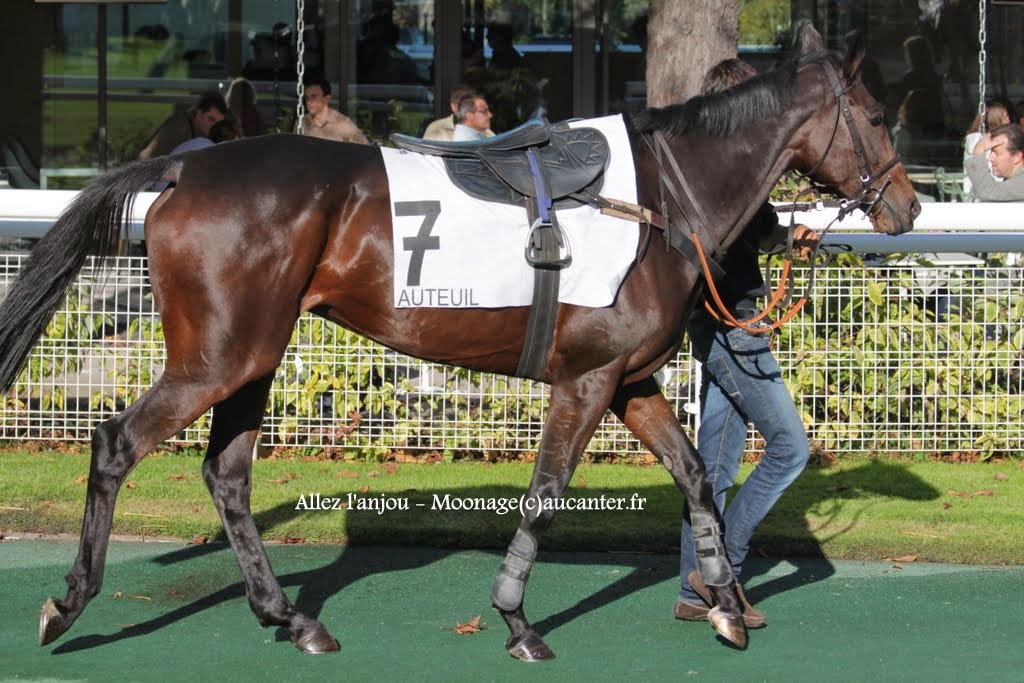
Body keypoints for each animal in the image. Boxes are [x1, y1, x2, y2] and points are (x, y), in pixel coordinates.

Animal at [0, 26, 917, 663]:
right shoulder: (585, 381)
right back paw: (70, 603)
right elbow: (547, 492)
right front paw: (516, 617)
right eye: (876, 115)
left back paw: (290, 616)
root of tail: (188, 168)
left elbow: (695, 474)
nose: (905, 205)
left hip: (253, 356)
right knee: (117, 443)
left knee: (227, 473)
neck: (661, 197)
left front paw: (724, 601)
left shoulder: (628, 380)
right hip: (215, 358)